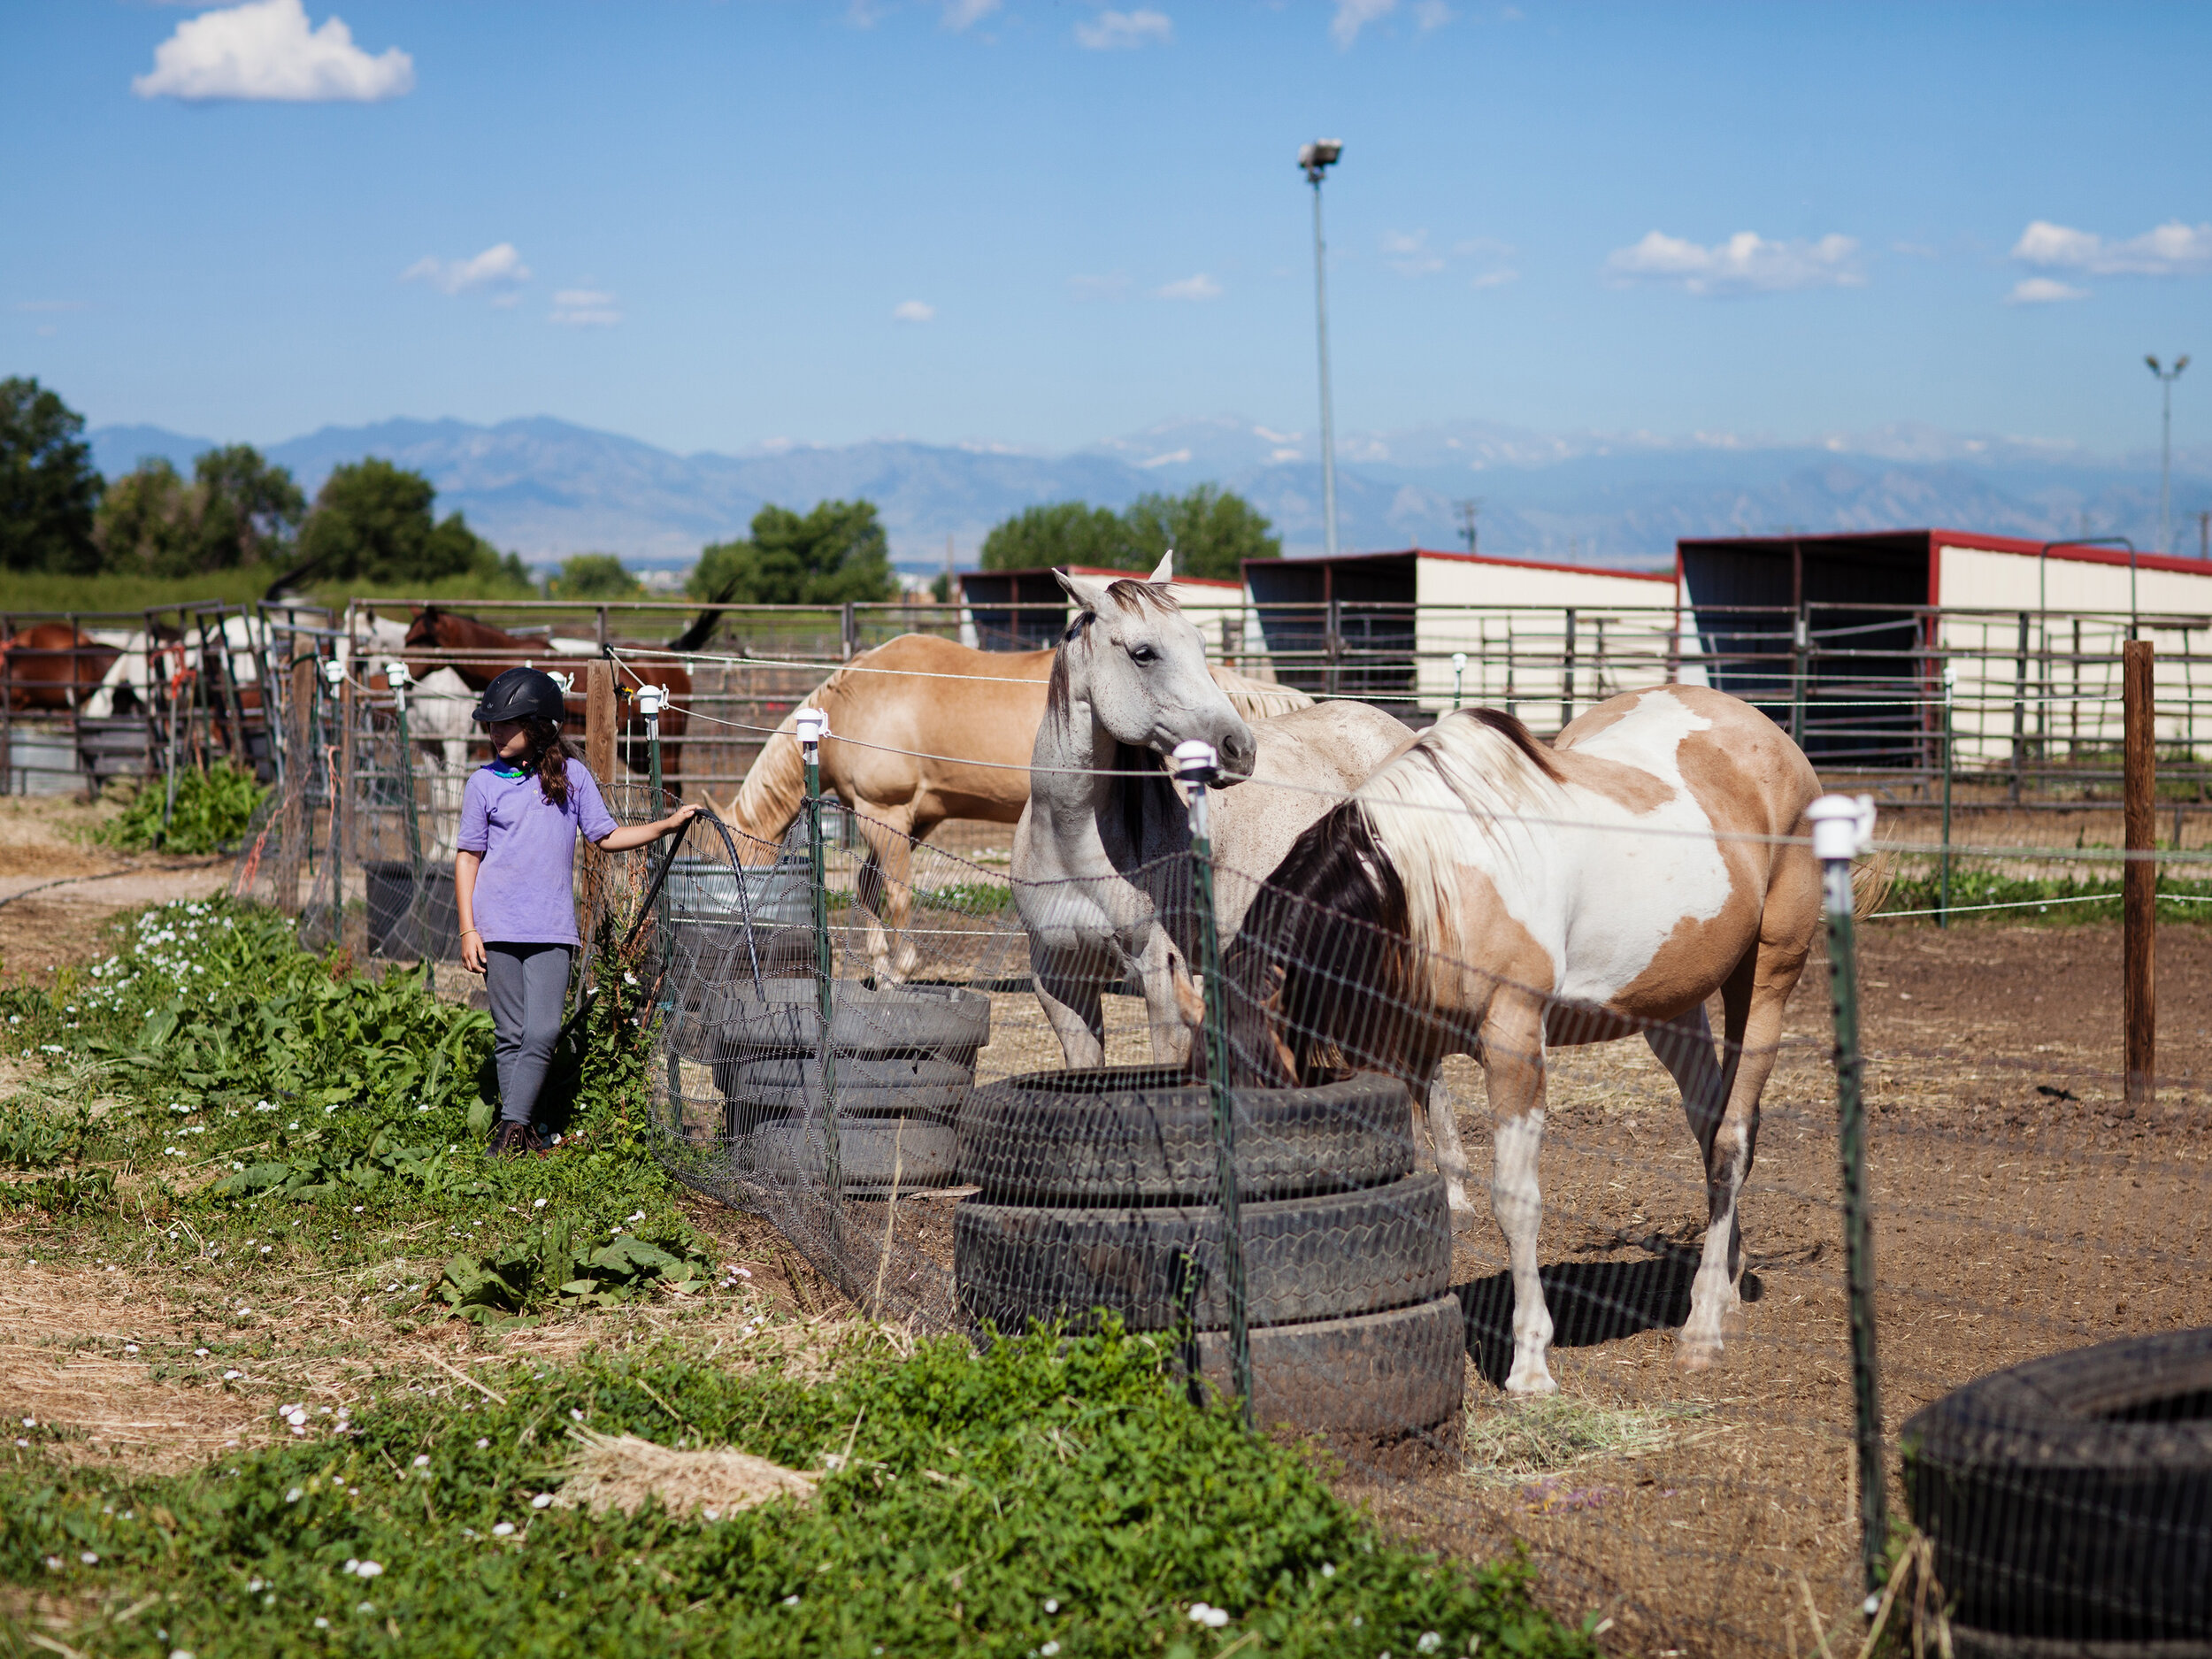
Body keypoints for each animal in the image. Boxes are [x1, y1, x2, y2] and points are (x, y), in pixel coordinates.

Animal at [726, 628, 1310, 982]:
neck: (860, 701)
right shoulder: (916, 818)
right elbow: (870, 886)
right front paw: (881, 967)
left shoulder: (884, 812)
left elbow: (894, 892)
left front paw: (900, 967)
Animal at [1013, 571, 1407, 1066]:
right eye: (1144, 653)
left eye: (1201, 645)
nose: (1240, 748)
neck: (1069, 842)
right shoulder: (1059, 981)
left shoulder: (1165, 980)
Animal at [1221, 690, 1823, 1407]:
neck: (1427, 877)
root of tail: (1771, 738)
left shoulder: (1514, 1044)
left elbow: (1516, 1202)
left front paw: (1530, 1365)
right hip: (1673, 1005)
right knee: (1711, 1128)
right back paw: (1727, 1282)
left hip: (1768, 981)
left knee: (1732, 1142)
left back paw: (1702, 1328)